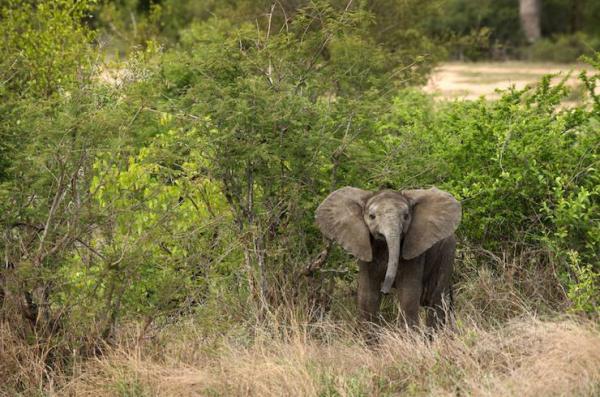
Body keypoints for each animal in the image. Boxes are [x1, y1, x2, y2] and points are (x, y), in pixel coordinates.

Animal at [316, 186, 462, 328]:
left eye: (406, 216)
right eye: (372, 216)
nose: (385, 291)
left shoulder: (414, 252)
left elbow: (408, 296)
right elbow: (368, 296)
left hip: (447, 252)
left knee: (435, 299)